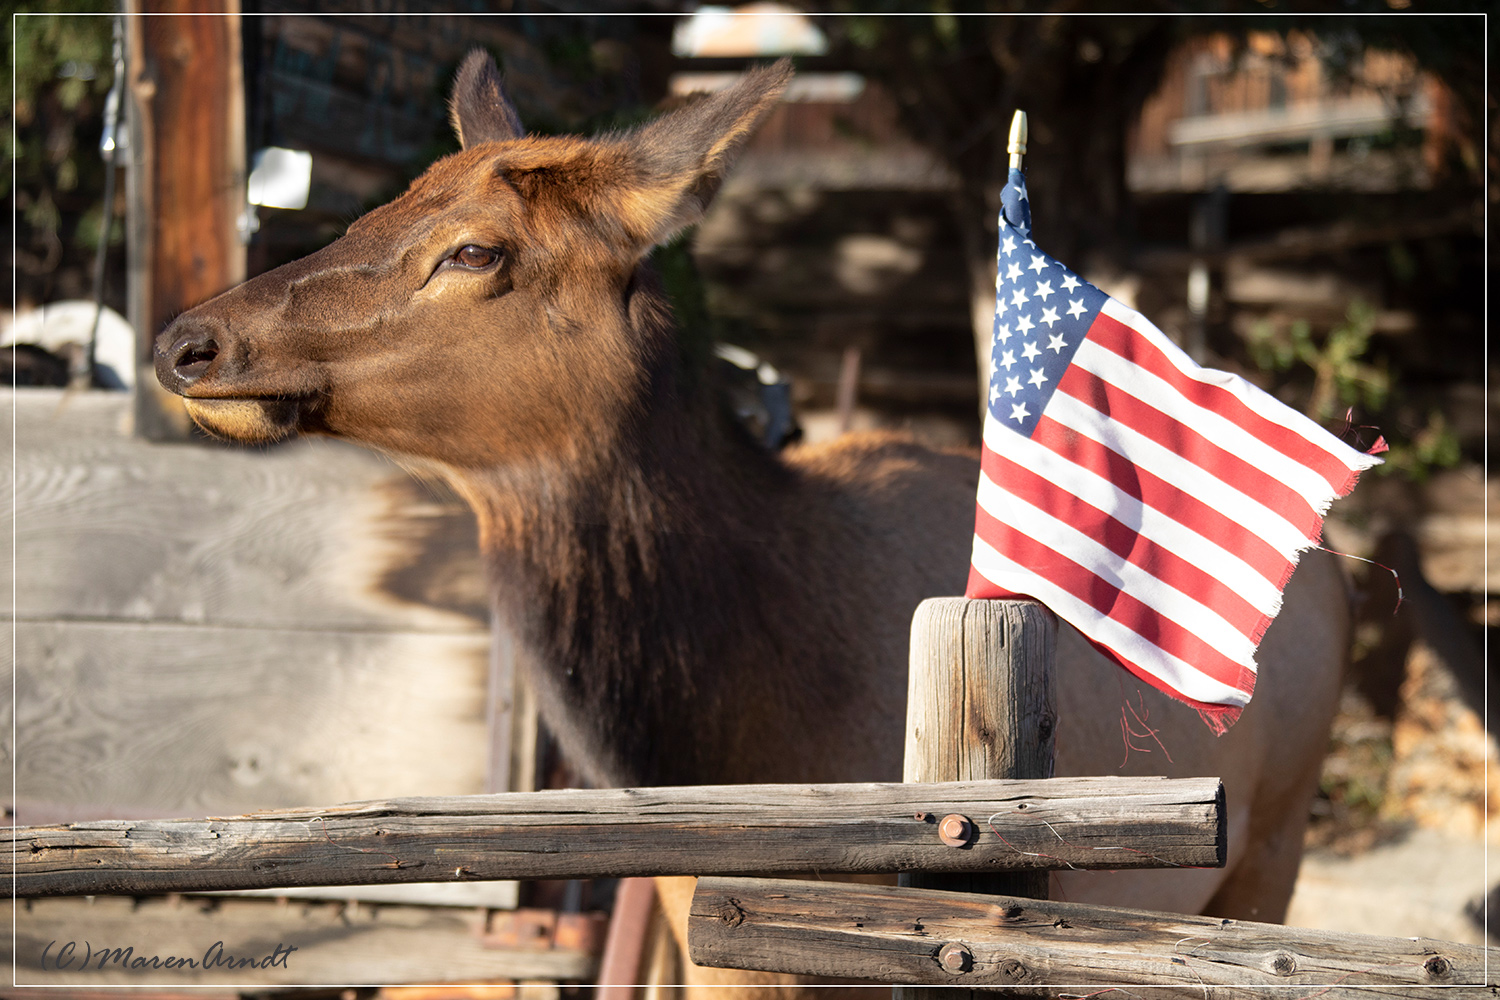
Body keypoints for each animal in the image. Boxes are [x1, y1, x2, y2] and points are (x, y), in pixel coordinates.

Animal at [158, 58, 1356, 989]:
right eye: (381, 208)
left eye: (475, 250)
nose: (188, 342)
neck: (724, 751)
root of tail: (1337, 563)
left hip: (1272, 851)